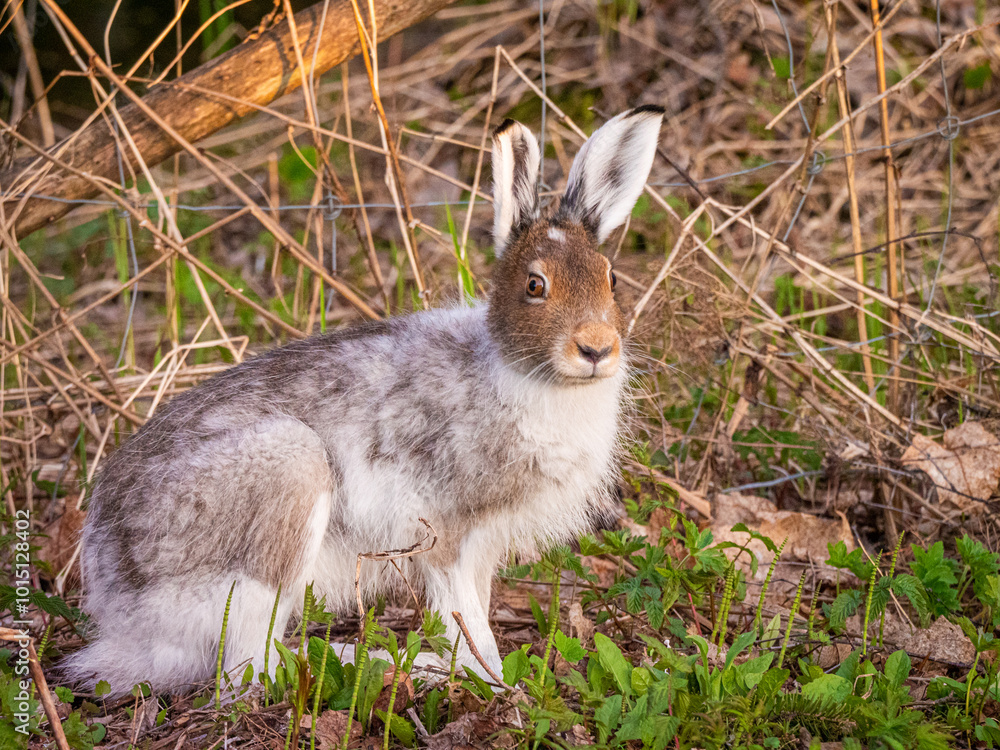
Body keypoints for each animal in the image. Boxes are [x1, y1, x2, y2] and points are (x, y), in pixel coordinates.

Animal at [62, 105, 664, 696]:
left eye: (611, 278)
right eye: (535, 285)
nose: (596, 348)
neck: (515, 372)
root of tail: (123, 618)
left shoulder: (484, 546)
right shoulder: (442, 533)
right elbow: (469, 630)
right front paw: (485, 679)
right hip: (286, 482)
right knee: (252, 666)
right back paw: (389, 663)